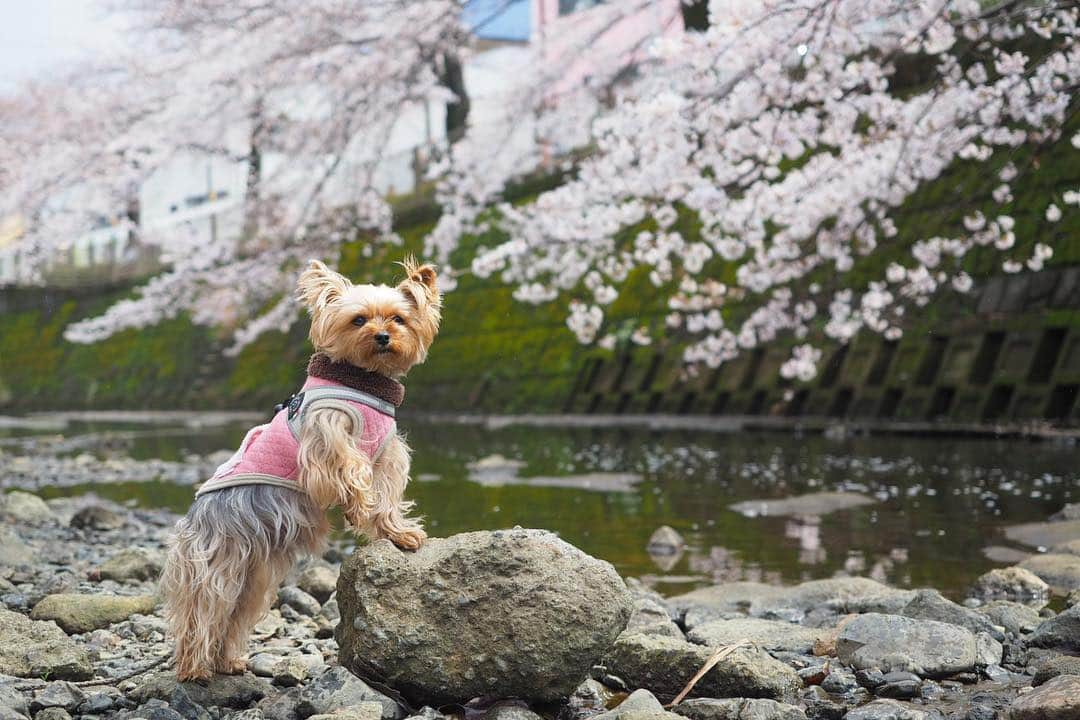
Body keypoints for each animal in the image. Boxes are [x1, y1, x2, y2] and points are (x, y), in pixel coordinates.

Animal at [159, 259, 438, 682]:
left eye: (399, 318)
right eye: (358, 320)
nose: (383, 337)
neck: (364, 379)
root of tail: (193, 518)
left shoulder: (387, 454)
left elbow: (386, 497)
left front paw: (399, 534)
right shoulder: (326, 435)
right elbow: (350, 468)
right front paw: (358, 508)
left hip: (254, 573)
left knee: (236, 612)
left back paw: (227, 661)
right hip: (217, 561)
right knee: (204, 610)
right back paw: (194, 668)